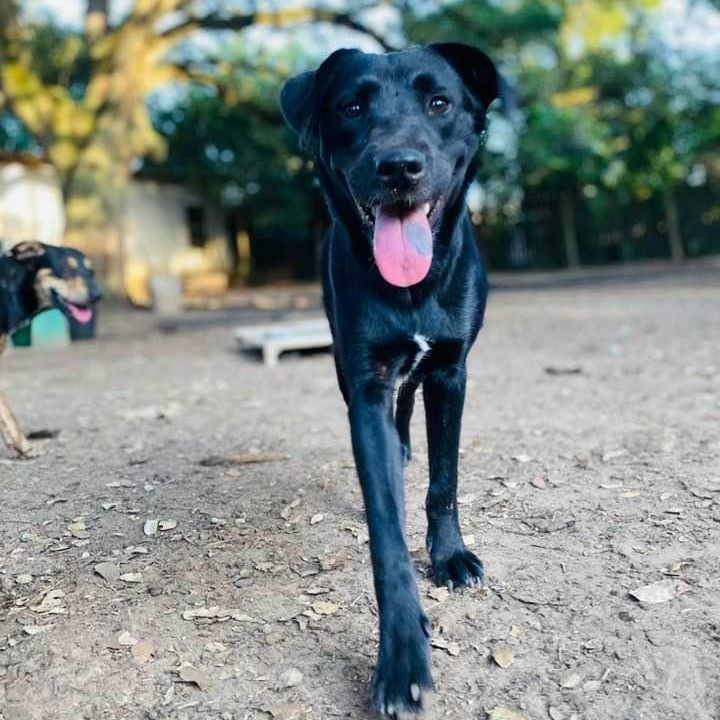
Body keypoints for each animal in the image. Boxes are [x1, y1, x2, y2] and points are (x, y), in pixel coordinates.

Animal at [280, 45, 500, 716]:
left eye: (439, 102)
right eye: (352, 107)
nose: (399, 166)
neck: (410, 289)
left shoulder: (451, 372)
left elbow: (444, 480)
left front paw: (449, 556)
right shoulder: (366, 385)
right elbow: (386, 532)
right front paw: (402, 655)